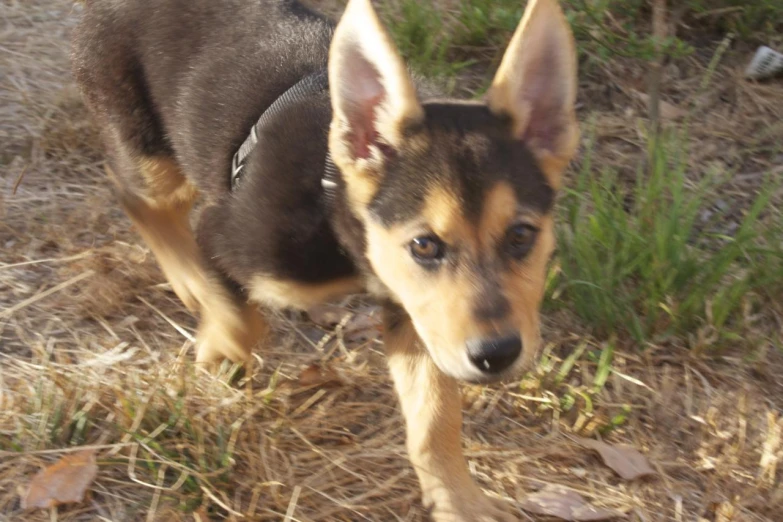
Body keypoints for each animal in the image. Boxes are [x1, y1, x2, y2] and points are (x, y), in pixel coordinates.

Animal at [72, 0, 576, 516]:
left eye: (521, 235)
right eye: (424, 245)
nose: (496, 355)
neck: (334, 198)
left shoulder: (419, 315)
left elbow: (434, 417)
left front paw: (458, 502)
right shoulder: (219, 235)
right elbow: (240, 321)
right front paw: (217, 352)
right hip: (144, 145)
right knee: (139, 198)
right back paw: (190, 284)